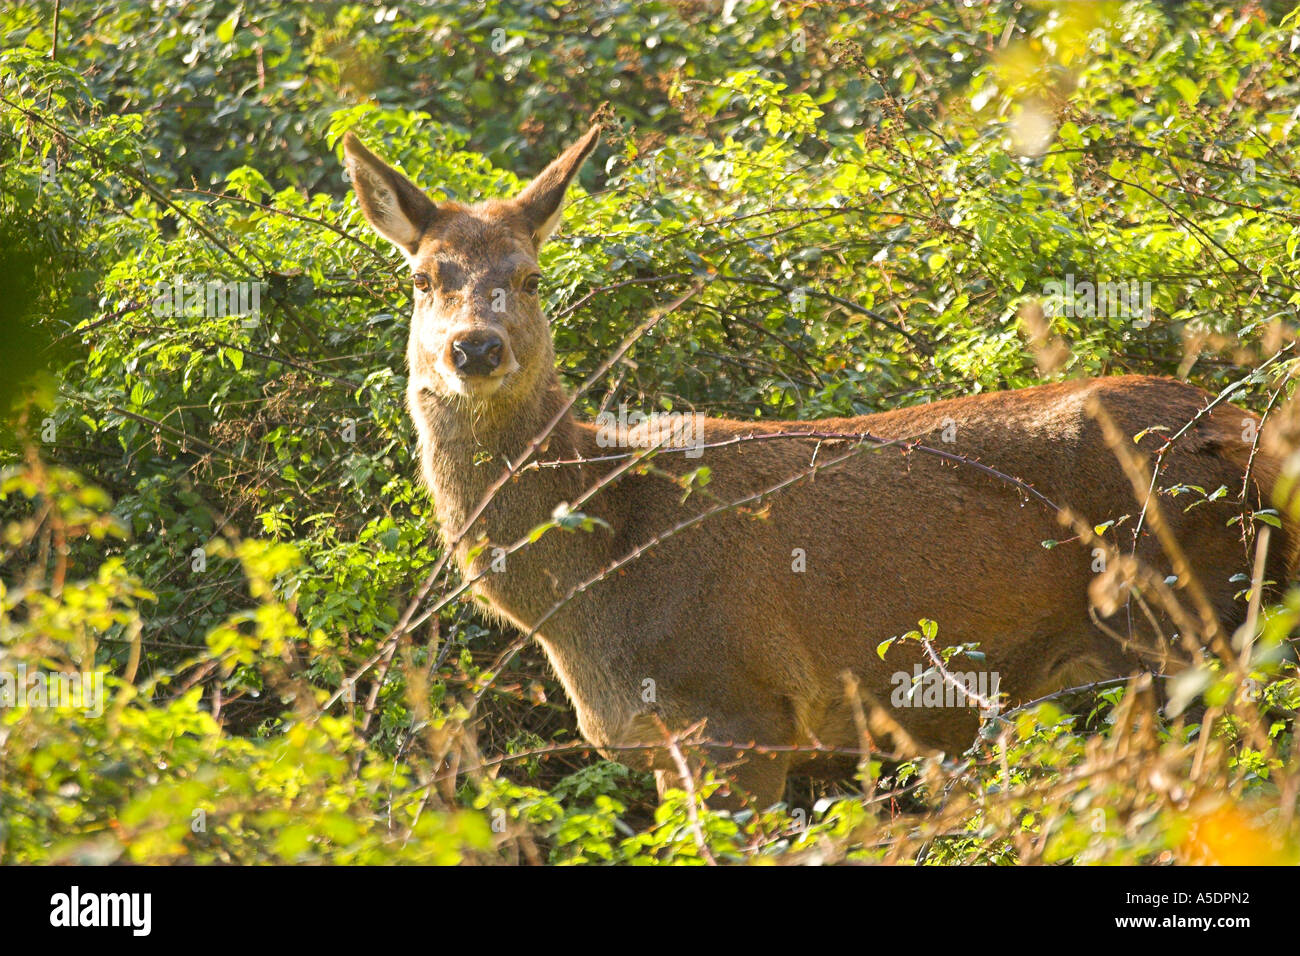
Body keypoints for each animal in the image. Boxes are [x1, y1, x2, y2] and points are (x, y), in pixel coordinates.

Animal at [342, 123, 1299, 810]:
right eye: (425, 277)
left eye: (534, 277)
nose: (474, 348)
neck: (590, 577)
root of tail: (1253, 434)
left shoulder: (739, 709)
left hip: (1191, 620)